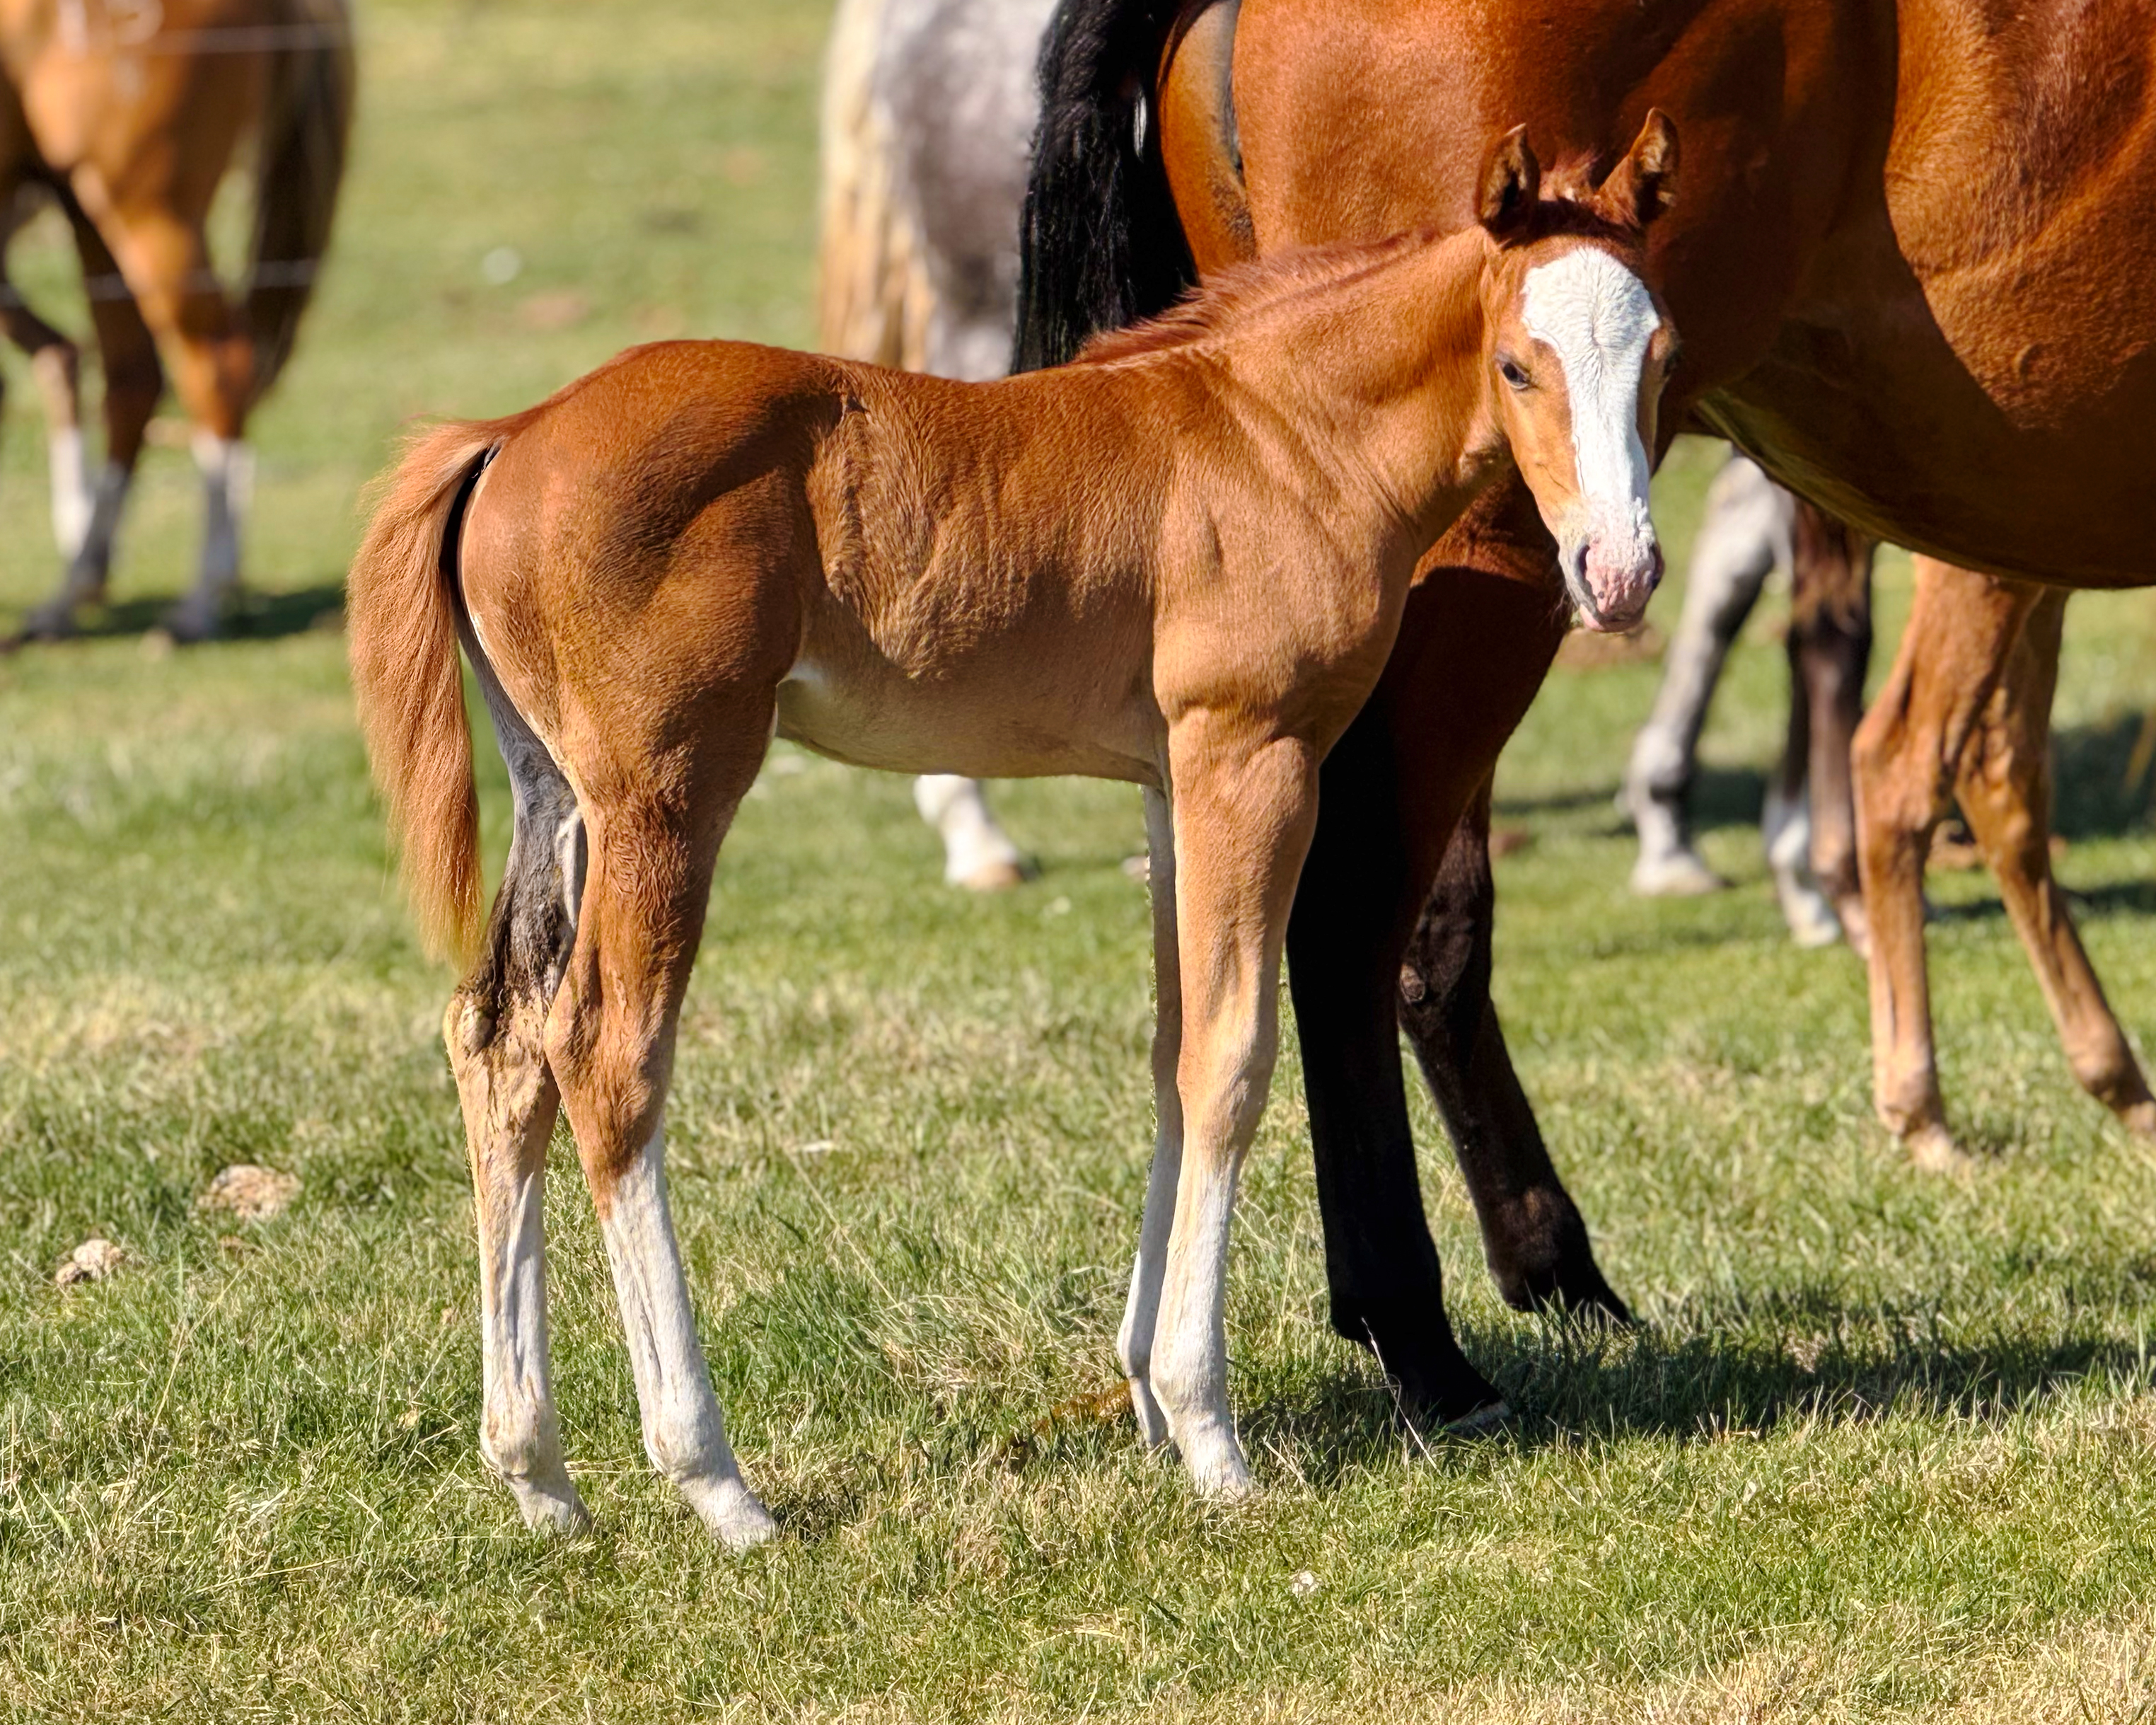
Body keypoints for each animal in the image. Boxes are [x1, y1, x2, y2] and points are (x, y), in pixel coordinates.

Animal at [0, 0, 354, 643]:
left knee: (214, 362)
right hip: (85, 205)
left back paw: (199, 600)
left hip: (148, 206)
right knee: (133, 375)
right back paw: (75, 590)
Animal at [346, 126, 1682, 1533]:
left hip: (556, 797)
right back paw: (714, 1478)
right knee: (605, 1058)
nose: (1619, 572)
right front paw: (1212, 1435)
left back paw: (538, 1473)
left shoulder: (1168, 779)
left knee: (498, 1042)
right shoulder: (1247, 756)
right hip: (666, 793)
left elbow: (1170, 1050)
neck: (1282, 435)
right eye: (1518, 362)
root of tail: (508, 435)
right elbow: (1230, 1059)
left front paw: (1148, 1397)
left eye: (1659, 355)